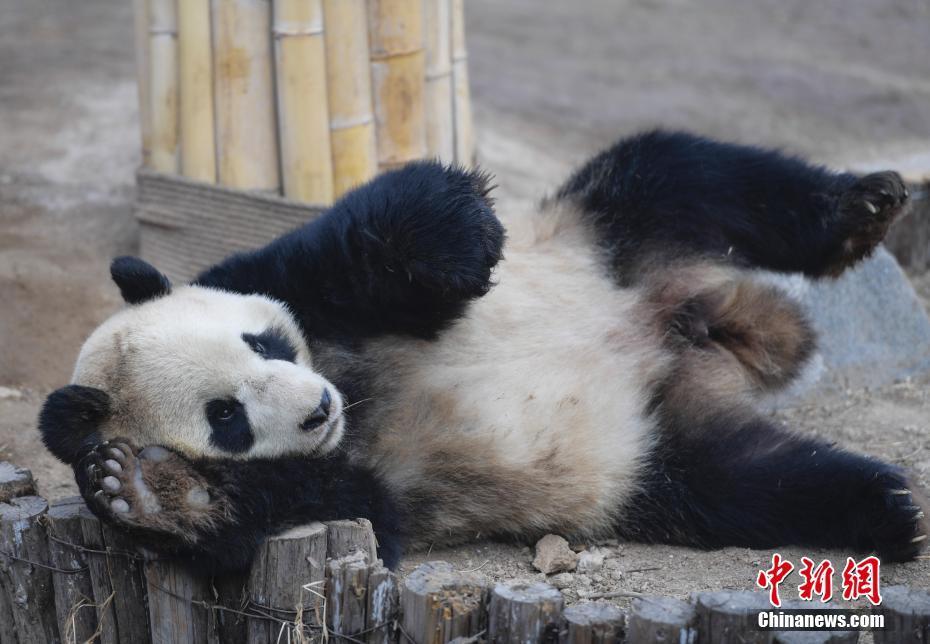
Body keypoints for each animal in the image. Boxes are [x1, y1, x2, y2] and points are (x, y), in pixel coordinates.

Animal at [36, 130, 928, 568]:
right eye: (225, 417)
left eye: (264, 342)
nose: (316, 408)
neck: (352, 386)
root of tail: (688, 327)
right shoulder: (364, 486)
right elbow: (341, 506)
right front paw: (149, 491)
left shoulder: (284, 277)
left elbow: (384, 220)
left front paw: (470, 245)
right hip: (656, 450)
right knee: (752, 482)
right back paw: (891, 510)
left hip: (609, 235)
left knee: (683, 169)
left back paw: (864, 206)